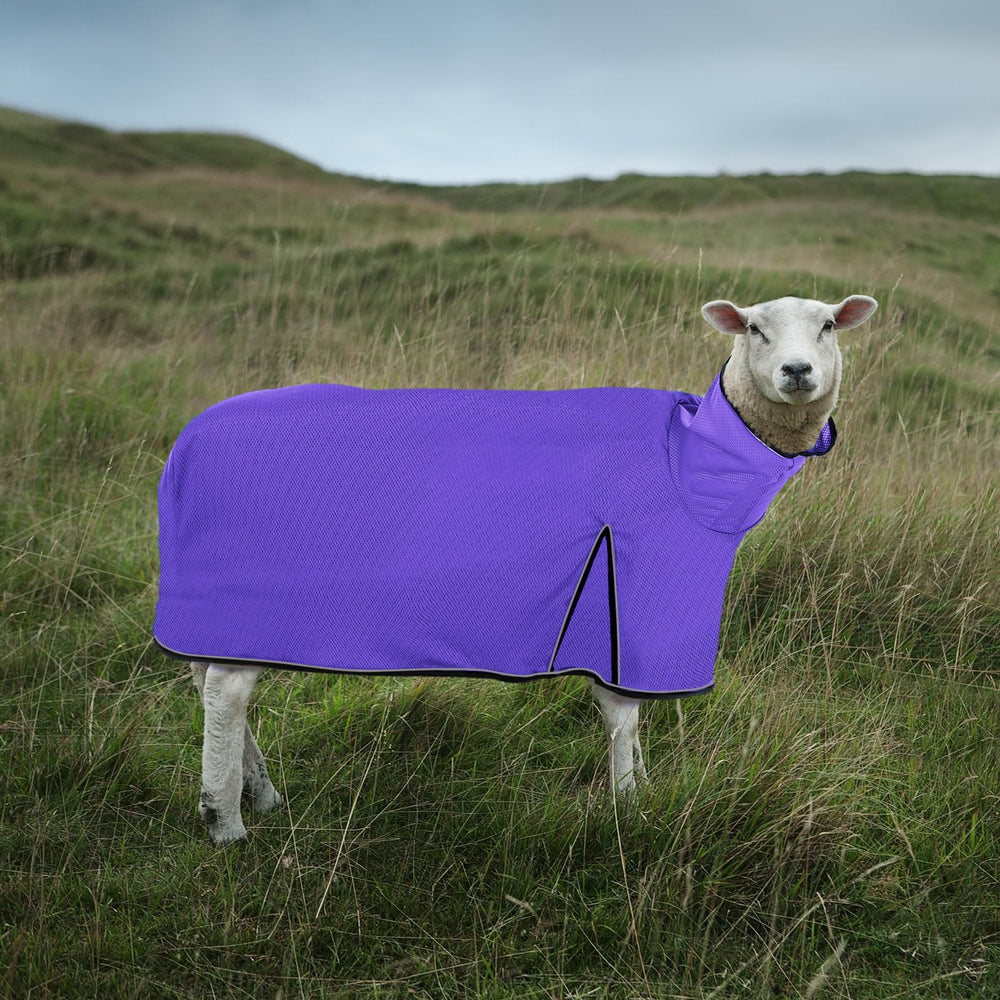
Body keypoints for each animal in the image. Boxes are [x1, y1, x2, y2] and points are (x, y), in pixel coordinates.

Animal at [155, 293, 878, 844]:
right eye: (755, 328)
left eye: (827, 325)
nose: (796, 371)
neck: (689, 459)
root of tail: (185, 448)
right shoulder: (618, 591)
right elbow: (621, 713)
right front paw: (627, 804)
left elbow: (637, 711)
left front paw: (642, 783)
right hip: (252, 585)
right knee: (227, 691)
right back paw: (225, 822)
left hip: (216, 594)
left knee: (207, 678)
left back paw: (260, 794)